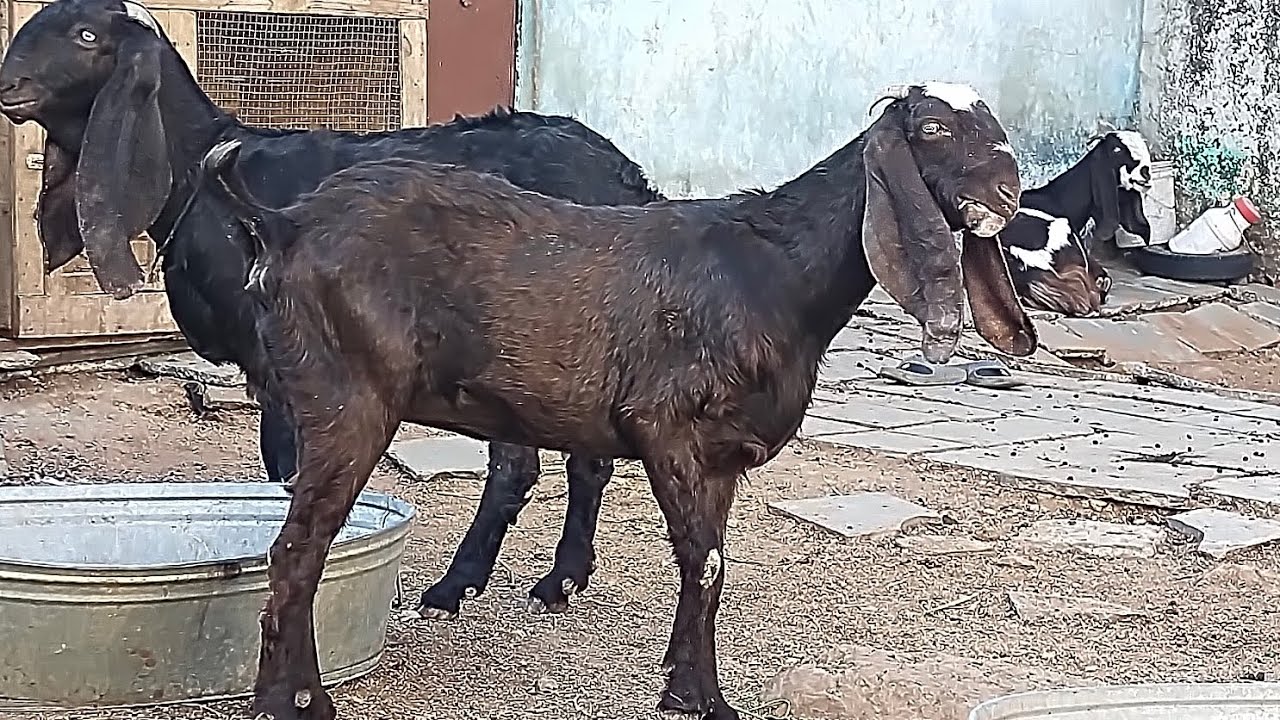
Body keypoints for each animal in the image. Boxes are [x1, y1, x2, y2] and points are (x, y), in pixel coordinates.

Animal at [0, 0, 668, 615]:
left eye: (87, 36)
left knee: (522, 465)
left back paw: (465, 586)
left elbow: (286, 464)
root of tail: (625, 180)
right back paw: (558, 578)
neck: (198, 176)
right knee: (580, 459)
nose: (8, 85)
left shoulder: (281, 358)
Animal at [201, 82, 1037, 720]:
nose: (1009, 193)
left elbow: (709, 568)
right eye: (932, 129)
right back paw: (295, 704)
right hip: (347, 398)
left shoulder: (722, 458)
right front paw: (704, 699)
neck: (772, 270)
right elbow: (705, 565)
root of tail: (285, 222)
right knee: (296, 551)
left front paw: (684, 685)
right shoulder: (668, 428)